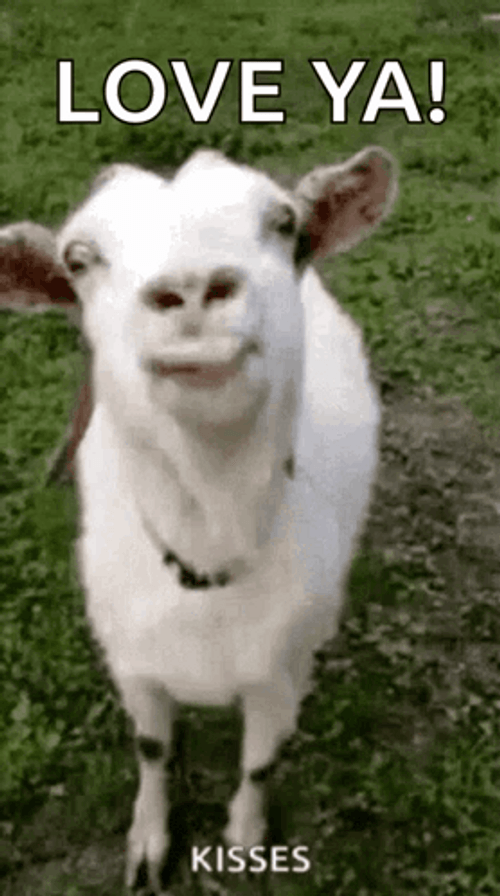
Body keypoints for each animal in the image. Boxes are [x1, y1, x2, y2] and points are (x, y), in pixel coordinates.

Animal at [1, 147, 397, 893]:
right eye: (79, 258)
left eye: (283, 223)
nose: (189, 289)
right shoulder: (132, 660)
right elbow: (152, 748)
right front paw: (149, 842)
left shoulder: (282, 672)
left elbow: (260, 763)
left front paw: (243, 839)